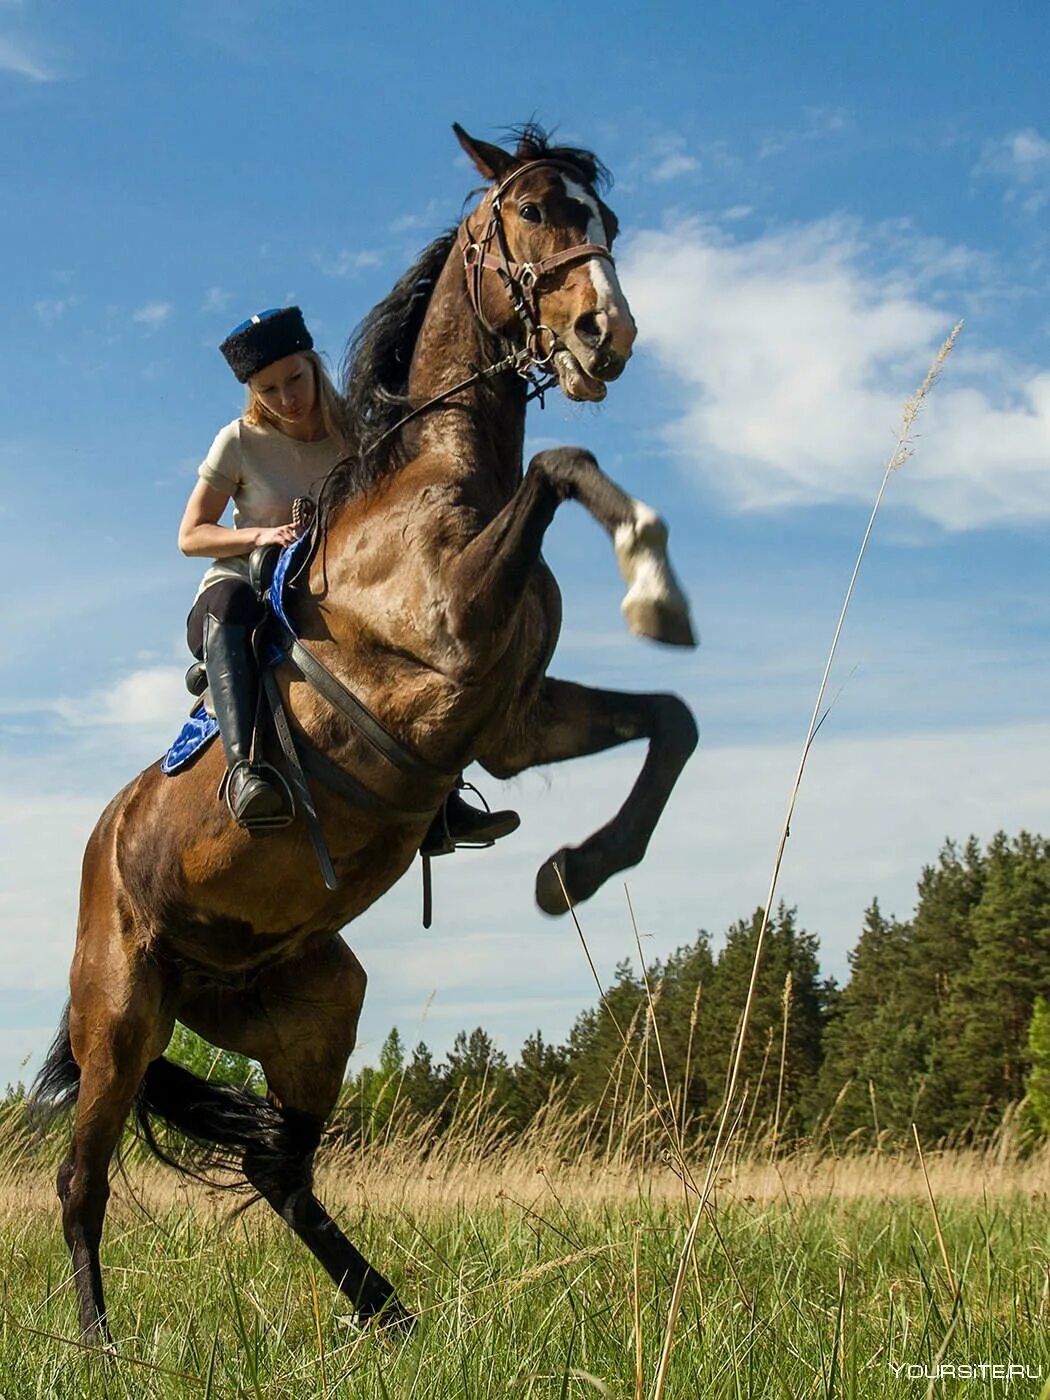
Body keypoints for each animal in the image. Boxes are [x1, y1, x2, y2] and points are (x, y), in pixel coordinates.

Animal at [32, 120, 700, 1332]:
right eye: (534, 210)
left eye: (608, 221)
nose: (606, 333)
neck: (437, 478)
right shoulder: (451, 649)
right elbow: (559, 466)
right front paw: (649, 567)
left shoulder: (508, 719)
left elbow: (670, 723)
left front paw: (575, 869)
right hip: (120, 1013)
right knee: (81, 1178)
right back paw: (104, 1346)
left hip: (306, 1002)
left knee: (280, 1165)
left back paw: (387, 1312)